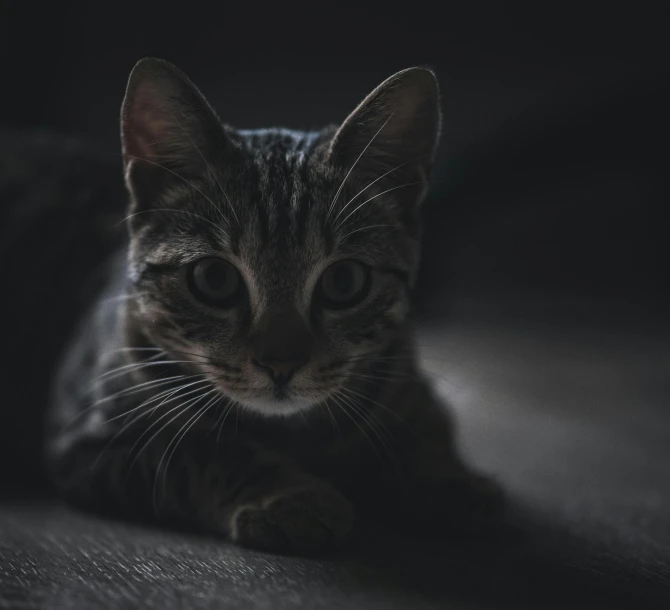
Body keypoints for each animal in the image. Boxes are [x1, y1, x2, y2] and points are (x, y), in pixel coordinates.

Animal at [44, 59, 502, 552]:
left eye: (344, 281)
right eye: (214, 279)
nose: (280, 363)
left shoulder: (407, 377)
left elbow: (426, 430)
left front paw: (454, 484)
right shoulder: (92, 441)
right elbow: (201, 451)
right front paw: (286, 496)